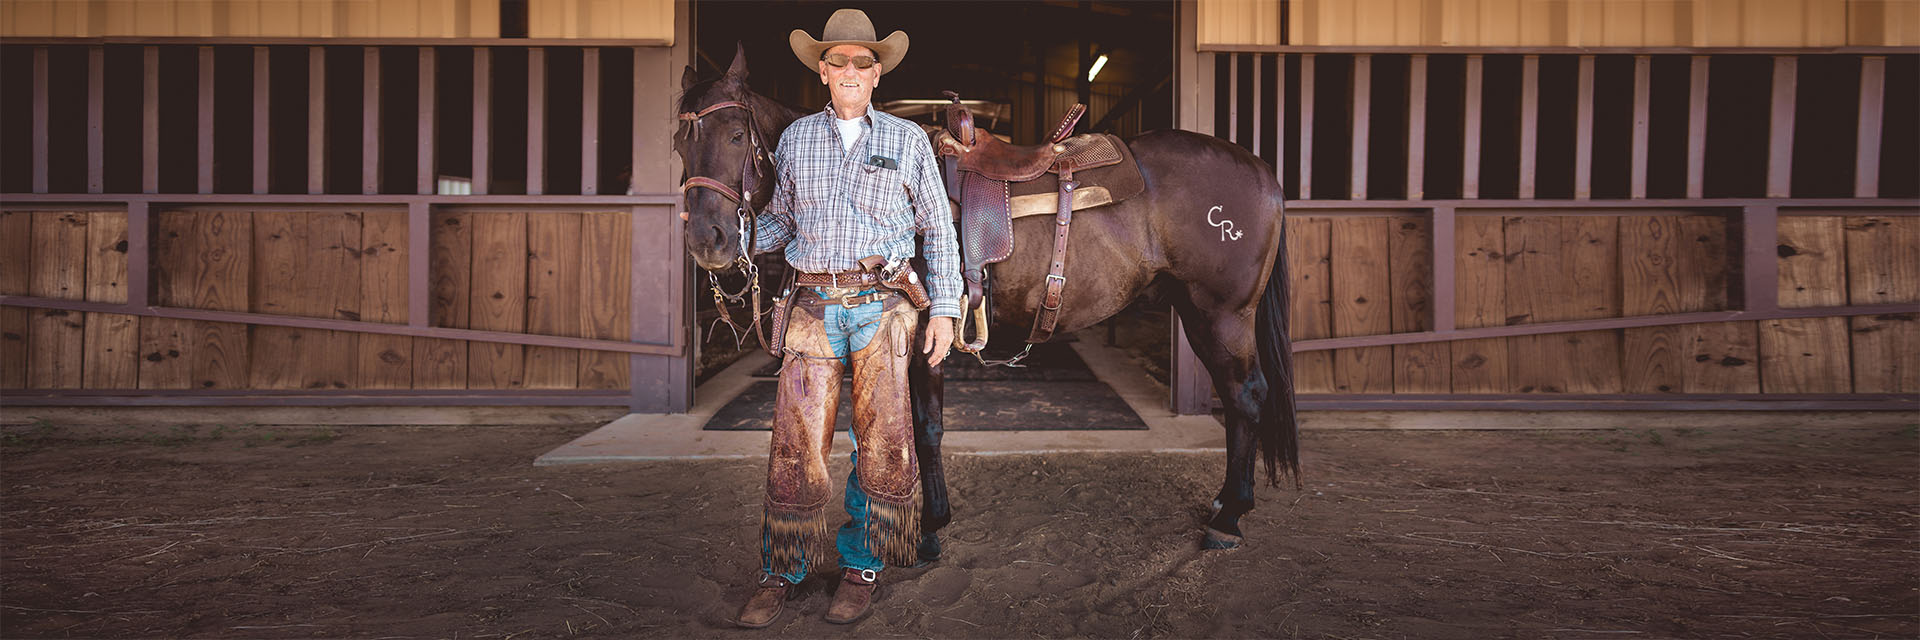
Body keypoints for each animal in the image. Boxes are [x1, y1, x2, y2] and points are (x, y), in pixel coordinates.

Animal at [675, 46, 1305, 553]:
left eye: (736, 136)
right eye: (680, 143)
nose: (708, 240)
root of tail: (1260, 169)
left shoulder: (921, 340)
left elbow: (924, 429)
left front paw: (928, 528)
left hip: (1222, 315)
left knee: (1246, 397)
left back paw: (1229, 518)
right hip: (1197, 311)